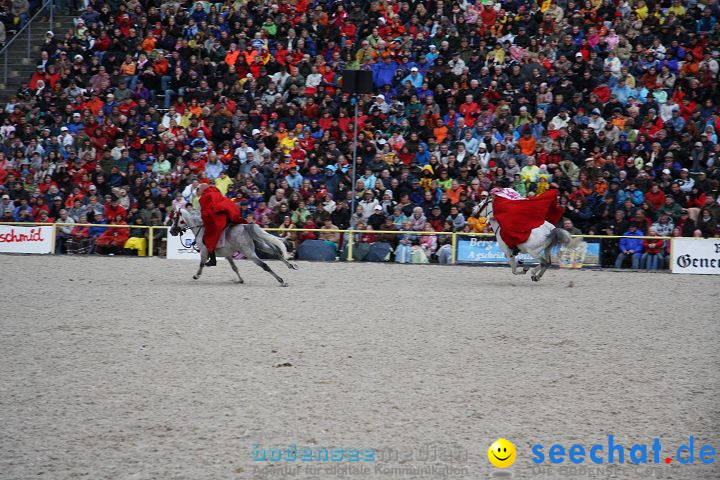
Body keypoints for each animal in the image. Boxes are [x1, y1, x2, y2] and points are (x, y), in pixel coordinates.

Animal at [169, 206, 298, 284]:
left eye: (175, 218)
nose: (171, 231)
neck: (202, 228)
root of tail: (246, 227)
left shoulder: (205, 251)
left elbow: (201, 264)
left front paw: (197, 275)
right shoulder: (227, 255)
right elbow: (234, 267)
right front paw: (240, 280)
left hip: (249, 253)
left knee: (264, 265)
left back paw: (281, 281)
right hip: (260, 246)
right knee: (277, 253)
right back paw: (291, 266)